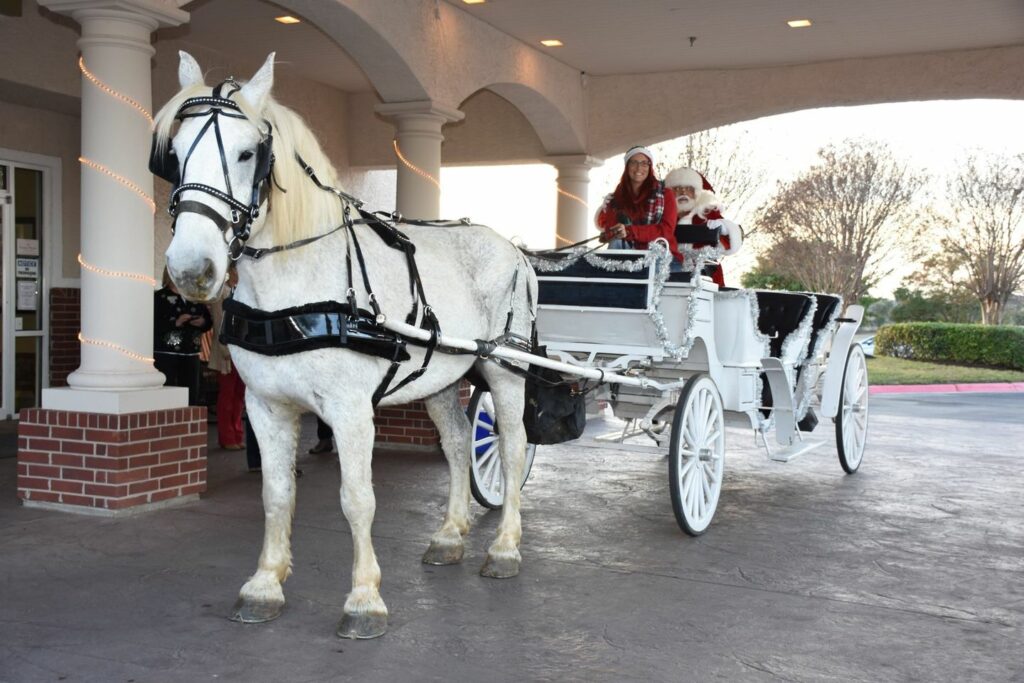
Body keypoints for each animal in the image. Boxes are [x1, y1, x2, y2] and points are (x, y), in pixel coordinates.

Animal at [157, 50, 536, 638]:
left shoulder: (351, 410)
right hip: (440, 379)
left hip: (505, 369)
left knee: (513, 448)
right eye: (173, 156)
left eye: (246, 153)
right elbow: (275, 495)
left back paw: (504, 548)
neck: (295, 289)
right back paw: (450, 535)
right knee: (456, 445)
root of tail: (515, 247)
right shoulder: (265, 405)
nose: (191, 269)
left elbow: (357, 499)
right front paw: (264, 584)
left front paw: (364, 598)